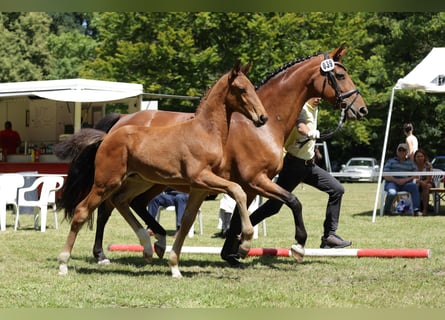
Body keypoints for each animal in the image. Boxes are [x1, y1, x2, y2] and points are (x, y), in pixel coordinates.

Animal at [57, 62, 268, 278]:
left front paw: (174, 266)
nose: (262, 117)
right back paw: (64, 263)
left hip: (138, 181)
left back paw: (148, 248)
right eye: (241, 89)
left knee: (121, 202)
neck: (205, 132)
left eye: (252, 87)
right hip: (106, 182)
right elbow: (238, 190)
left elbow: (186, 222)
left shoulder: (199, 188)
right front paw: (245, 244)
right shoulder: (201, 177)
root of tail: (106, 138)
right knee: (84, 210)